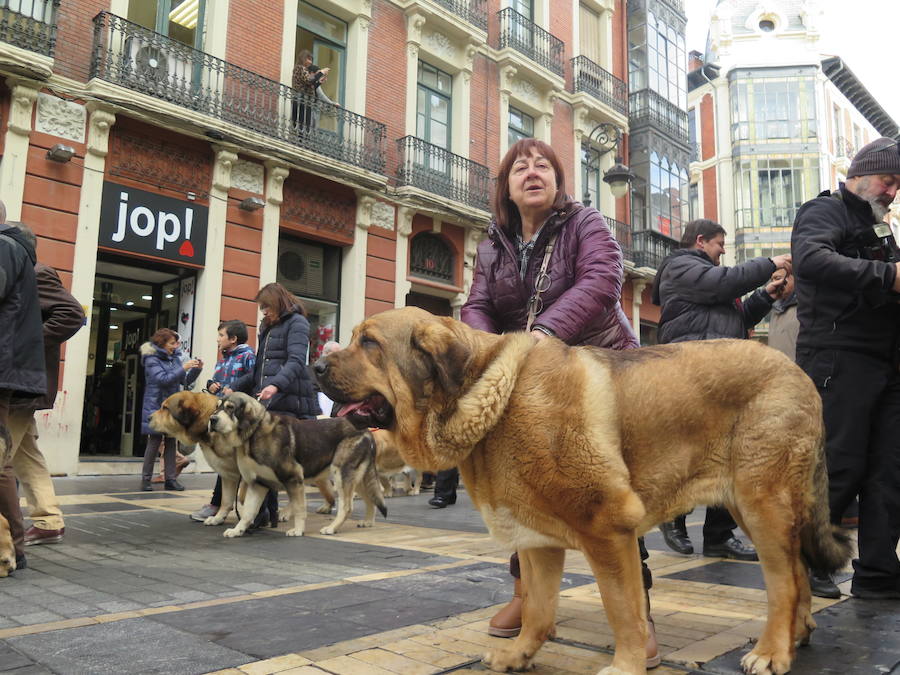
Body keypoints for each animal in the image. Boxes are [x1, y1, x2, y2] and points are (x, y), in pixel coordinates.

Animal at [210, 390, 386, 540]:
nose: (212, 419)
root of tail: (366, 430)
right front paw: (237, 530)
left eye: (230, 408)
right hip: (357, 477)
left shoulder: (293, 478)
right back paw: (368, 521)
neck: (254, 433)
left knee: (347, 507)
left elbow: (300, 508)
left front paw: (298, 530)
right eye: (217, 406)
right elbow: (248, 512)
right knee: (370, 498)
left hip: (342, 474)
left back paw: (332, 528)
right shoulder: (257, 484)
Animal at [316, 308, 852, 675]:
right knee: (799, 574)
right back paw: (797, 636)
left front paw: (628, 664)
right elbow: (537, 607)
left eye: (369, 343)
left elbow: (624, 609)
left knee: (783, 583)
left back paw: (771, 651)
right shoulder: (537, 540)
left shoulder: (607, 530)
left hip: (762, 502)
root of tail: (800, 374)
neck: (490, 397)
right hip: (754, 507)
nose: (317, 365)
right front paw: (520, 654)